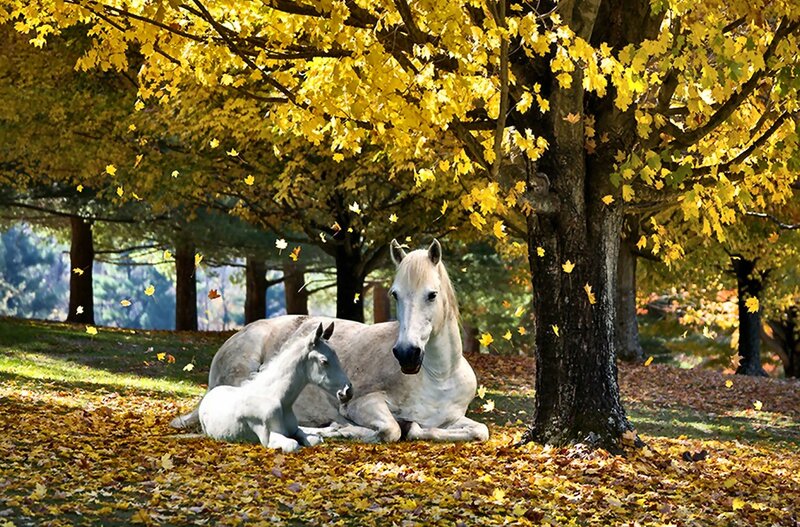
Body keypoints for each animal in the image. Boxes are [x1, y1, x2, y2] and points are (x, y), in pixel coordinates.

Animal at [198, 322, 352, 452]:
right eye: (324, 361)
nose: (348, 391)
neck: (277, 398)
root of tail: (210, 393)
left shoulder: (295, 430)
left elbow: (314, 438)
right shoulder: (271, 438)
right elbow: (294, 445)